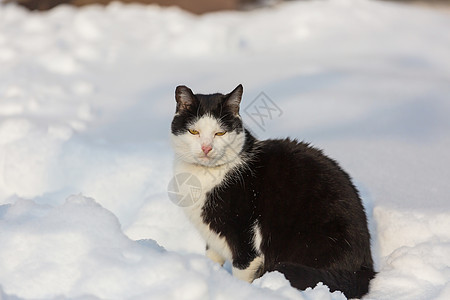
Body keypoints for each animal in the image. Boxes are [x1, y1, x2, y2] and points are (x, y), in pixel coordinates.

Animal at [171, 84, 374, 298]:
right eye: (194, 131)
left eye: (220, 133)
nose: (206, 148)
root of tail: (365, 267)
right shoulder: (212, 240)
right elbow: (212, 260)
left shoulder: (245, 241)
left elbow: (243, 272)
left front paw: (240, 291)